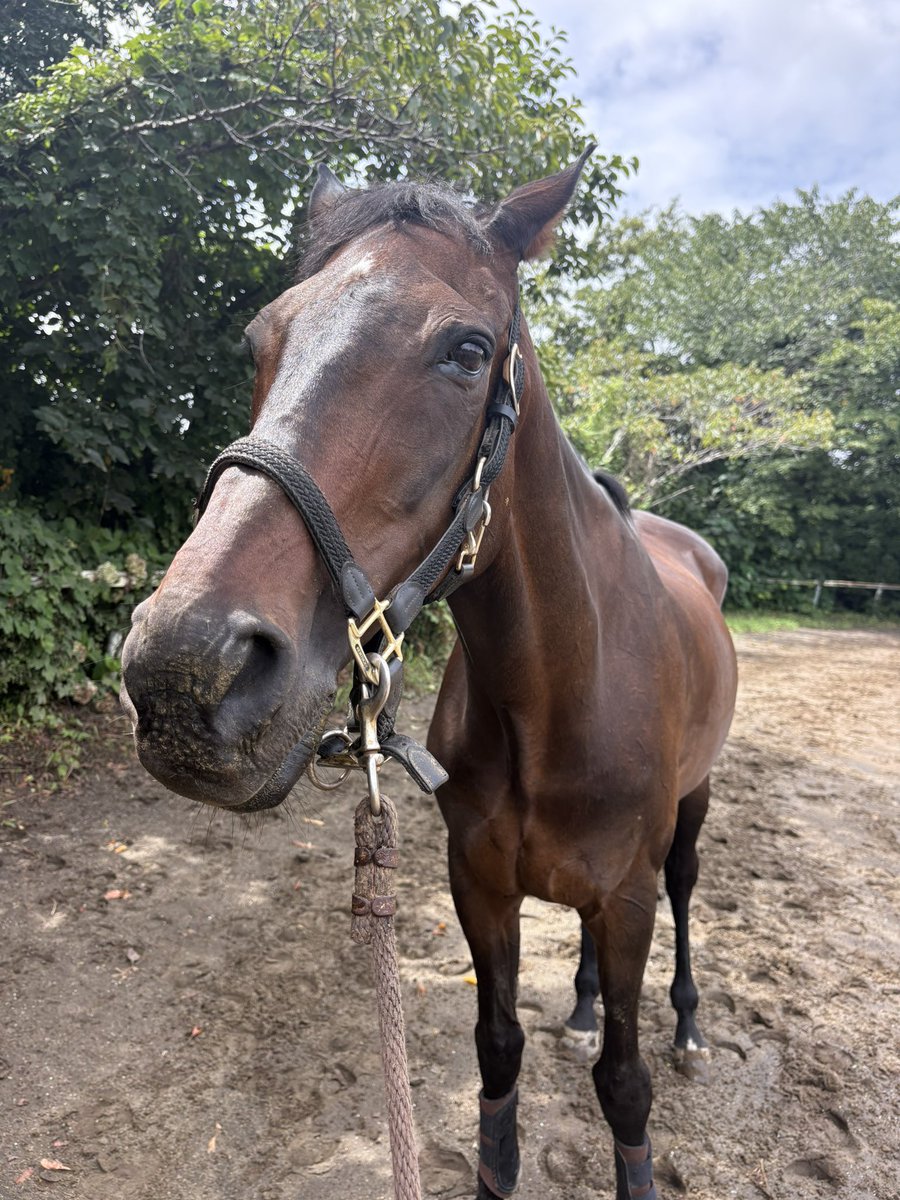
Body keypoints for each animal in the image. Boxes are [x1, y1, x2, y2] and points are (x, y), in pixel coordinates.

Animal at [120, 149, 737, 1200]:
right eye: (260, 339)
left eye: (467, 350)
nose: (185, 674)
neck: (558, 694)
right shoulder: (478, 885)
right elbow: (497, 1057)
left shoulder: (627, 899)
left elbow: (626, 1087)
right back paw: (578, 1006)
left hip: (689, 815)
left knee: (690, 891)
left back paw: (690, 1024)